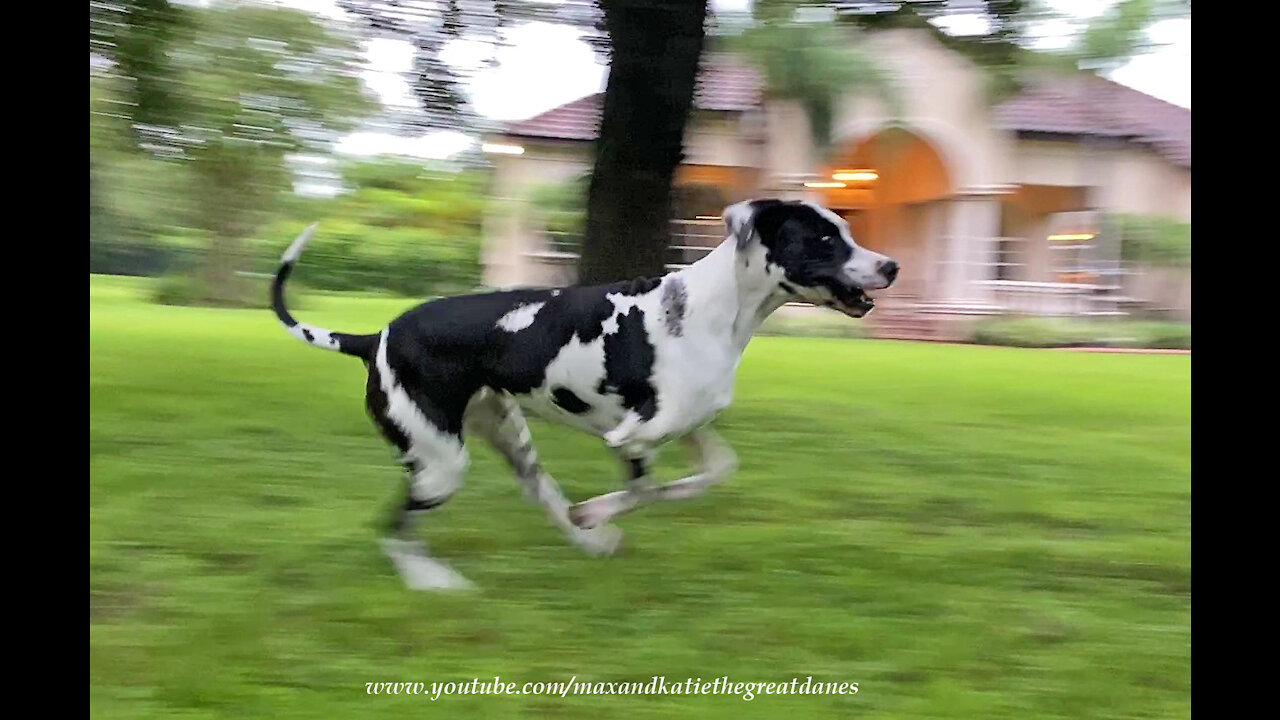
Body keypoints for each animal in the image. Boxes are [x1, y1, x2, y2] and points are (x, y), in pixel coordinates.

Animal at [272, 194, 890, 584]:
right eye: (824, 238)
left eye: (846, 230)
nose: (892, 266)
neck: (710, 309)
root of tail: (375, 336)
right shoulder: (632, 436)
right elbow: (642, 490)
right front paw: (596, 512)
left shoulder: (692, 427)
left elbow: (712, 472)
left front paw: (598, 521)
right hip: (441, 461)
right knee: (395, 528)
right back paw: (434, 579)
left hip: (506, 437)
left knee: (538, 491)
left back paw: (584, 541)